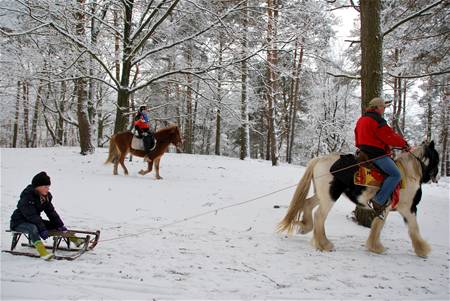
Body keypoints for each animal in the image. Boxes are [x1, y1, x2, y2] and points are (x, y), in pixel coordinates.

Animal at [278, 141, 440, 255]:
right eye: (437, 158)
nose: (436, 177)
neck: (409, 174)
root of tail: (319, 159)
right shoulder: (409, 208)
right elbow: (413, 228)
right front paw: (423, 249)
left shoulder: (385, 208)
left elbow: (377, 225)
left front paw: (375, 246)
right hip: (330, 197)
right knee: (319, 216)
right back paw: (324, 244)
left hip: (322, 195)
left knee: (307, 204)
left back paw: (305, 227)